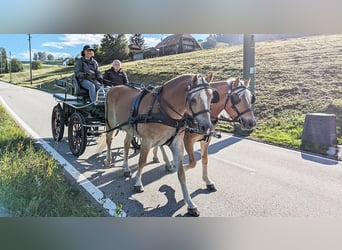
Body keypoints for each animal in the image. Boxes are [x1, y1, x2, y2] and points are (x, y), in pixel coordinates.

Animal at [105, 73, 216, 216]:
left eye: (211, 97)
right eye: (193, 100)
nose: (207, 127)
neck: (164, 110)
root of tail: (112, 88)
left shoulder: (177, 144)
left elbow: (182, 174)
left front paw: (190, 204)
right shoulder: (147, 141)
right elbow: (142, 162)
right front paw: (138, 183)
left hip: (130, 128)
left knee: (125, 144)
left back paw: (126, 168)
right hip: (111, 123)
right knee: (108, 140)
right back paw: (108, 161)